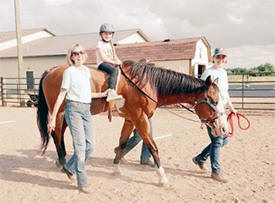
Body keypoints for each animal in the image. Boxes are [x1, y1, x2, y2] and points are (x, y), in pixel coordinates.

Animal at [36, 60, 226, 186]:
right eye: (214, 101)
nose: (223, 128)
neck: (148, 84)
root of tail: (50, 71)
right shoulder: (139, 118)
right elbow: (153, 146)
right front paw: (162, 177)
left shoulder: (130, 119)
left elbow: (122, 143)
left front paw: (116, 168)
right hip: (59, 113)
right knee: (56, 135)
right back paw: (65, 166)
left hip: (65, 114)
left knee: (59, 135)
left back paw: (63, 163)